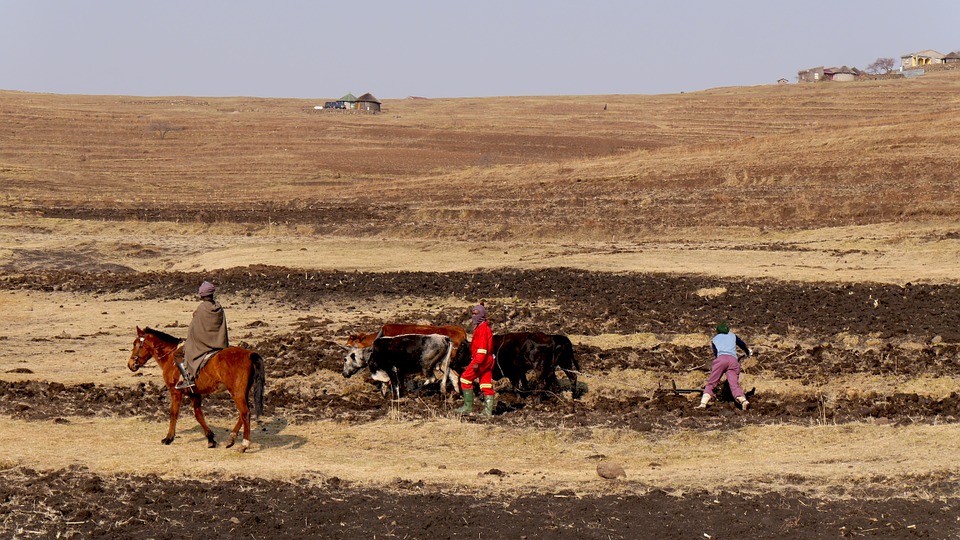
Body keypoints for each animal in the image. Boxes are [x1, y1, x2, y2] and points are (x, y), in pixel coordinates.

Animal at [126, 324, 266, 452]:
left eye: (135, 344)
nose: (130, 364)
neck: (170, 357)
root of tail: (249, 354)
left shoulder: (175, 392)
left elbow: (173, 413)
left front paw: (169, 438)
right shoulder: (194, 394)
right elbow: (198, 415)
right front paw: (210, 438)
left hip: (237, 393)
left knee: (245, 413)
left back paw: (244, 445)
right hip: (242, 392)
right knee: (243, 414)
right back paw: (231, 439)